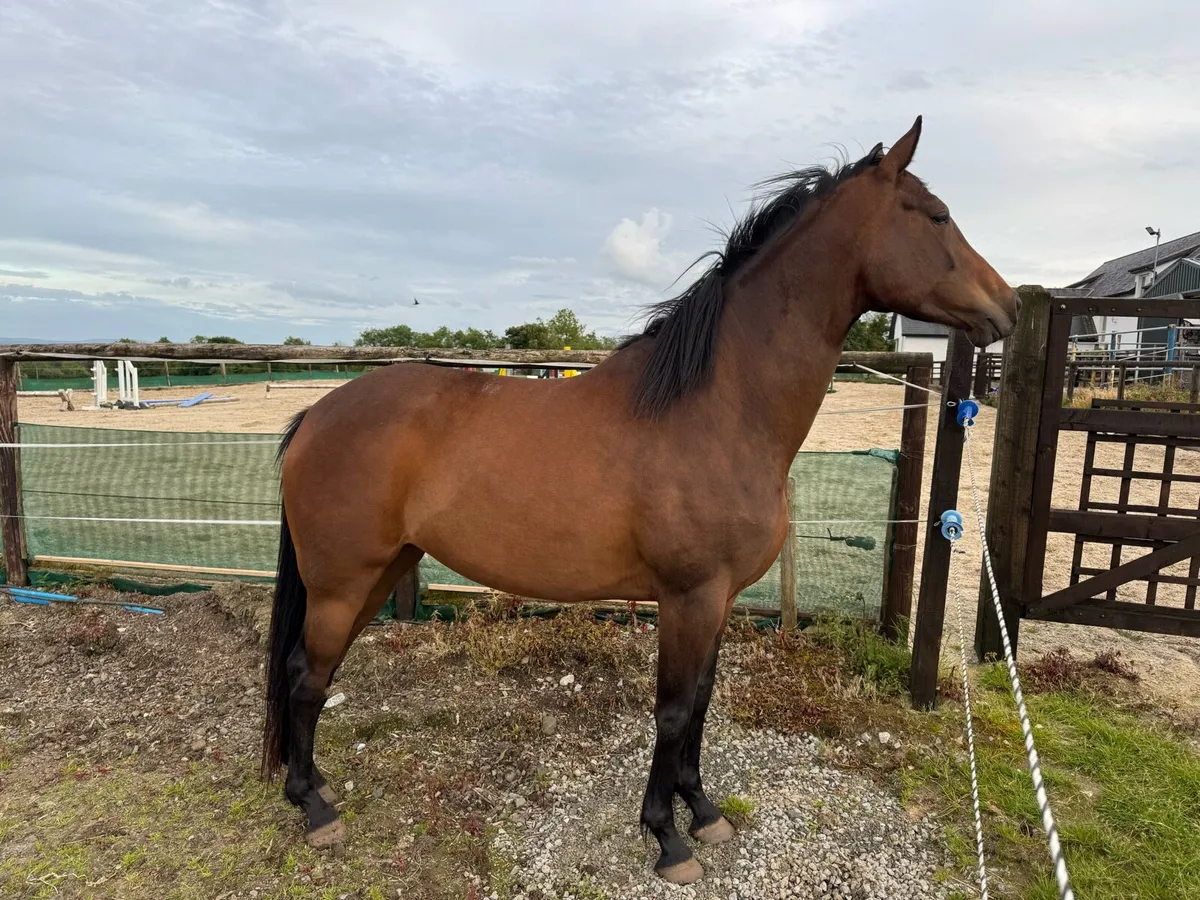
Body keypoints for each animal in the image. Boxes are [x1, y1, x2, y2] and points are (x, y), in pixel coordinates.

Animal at [260, 116, 1019, 885]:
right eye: (936, 216)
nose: (1010, 305)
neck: (718, 408)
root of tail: (317, 415)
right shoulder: (689, 597)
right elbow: (674, 712)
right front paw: (667, 838)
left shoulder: (718, 600)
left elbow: (703, 704)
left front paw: (703, 812)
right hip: (342, 582)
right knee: (304, 674)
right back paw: (313, 809)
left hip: (378, 572)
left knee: (314, 674)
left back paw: (315, 784)